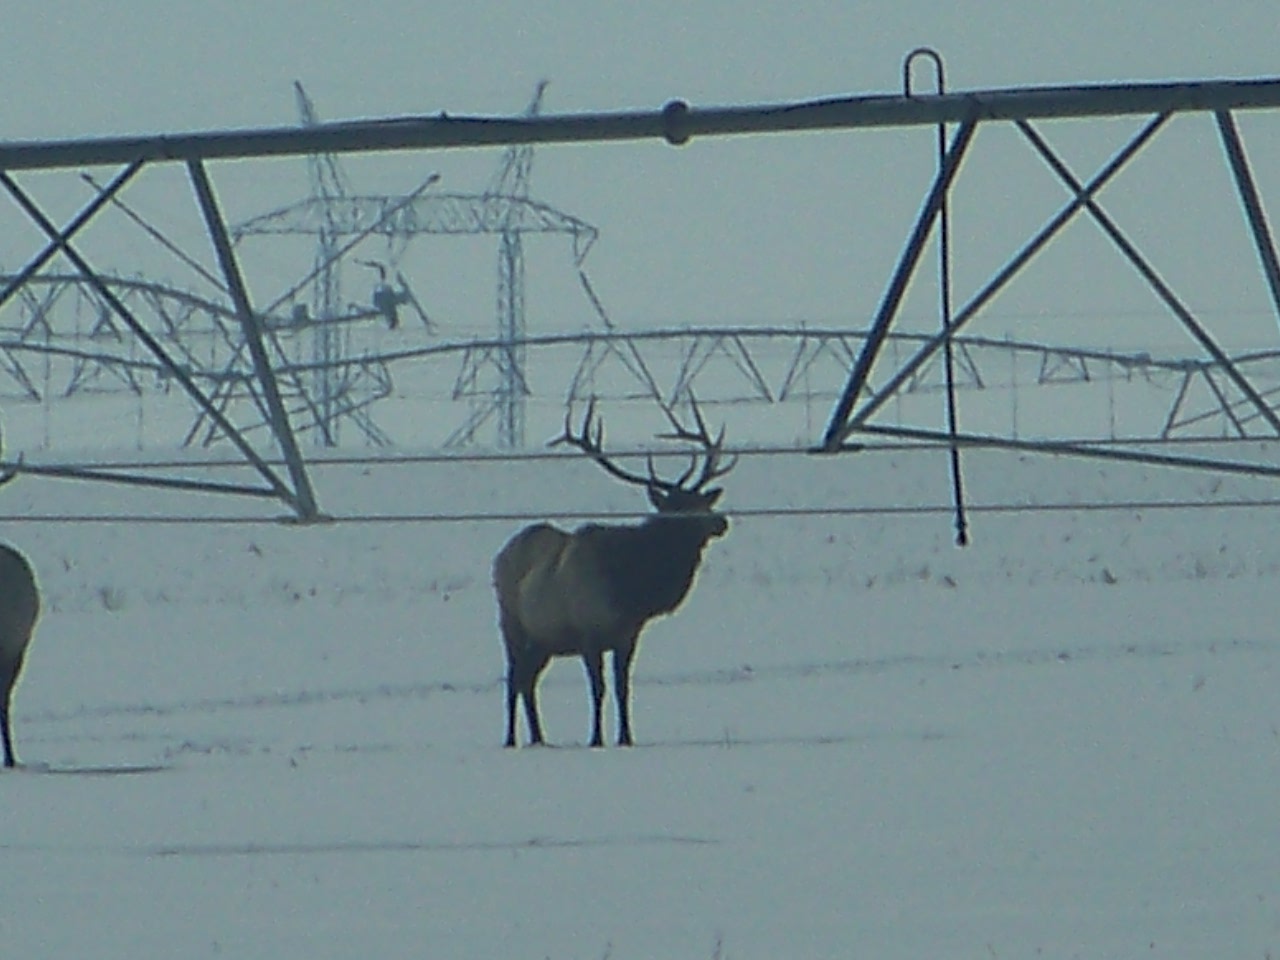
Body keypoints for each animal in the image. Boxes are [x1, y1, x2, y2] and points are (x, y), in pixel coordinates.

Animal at [493, 399, 735, 748]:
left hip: (543, 640)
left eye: (703, 501)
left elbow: (623, 688)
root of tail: (500, 554)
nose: (721, 522)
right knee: (514, 678)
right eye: (678, 507)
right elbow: (599, 689)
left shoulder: (628, 636)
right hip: (512, 624)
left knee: (528, 680)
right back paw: (511, 738)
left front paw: (626, 737)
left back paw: (539, 738)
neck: (629, 591)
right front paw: (596, 738)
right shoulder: (588, 633)